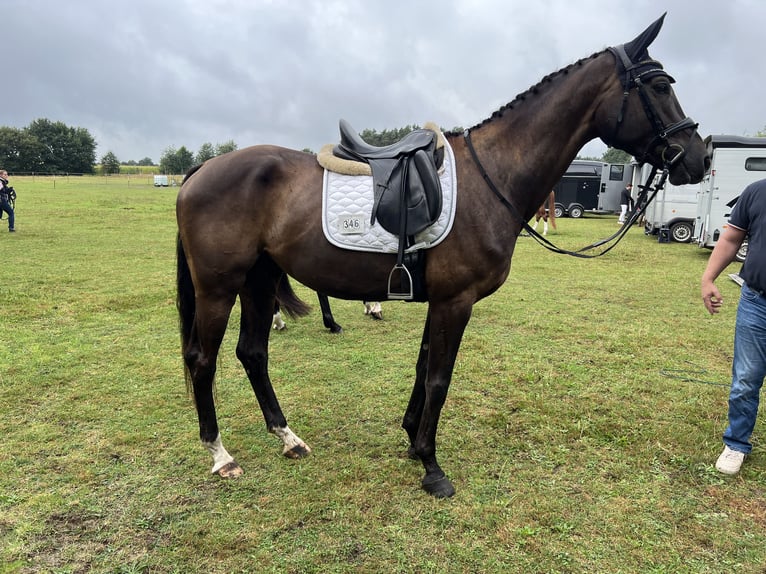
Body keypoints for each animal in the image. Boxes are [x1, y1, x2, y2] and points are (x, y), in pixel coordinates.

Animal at [176, 14, 708, 500]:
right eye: (660, 85)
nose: (698, 158)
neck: (492, 177)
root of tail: (202, 169)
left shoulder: (438, 300)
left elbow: (422, 368)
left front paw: (413, 441)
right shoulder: (456, 301)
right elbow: (439, 379)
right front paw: (432, 467)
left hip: (260, 279)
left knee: (252, 353)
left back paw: (288, 438)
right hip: (220, 287)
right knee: (203, 359)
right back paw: (221, 455)